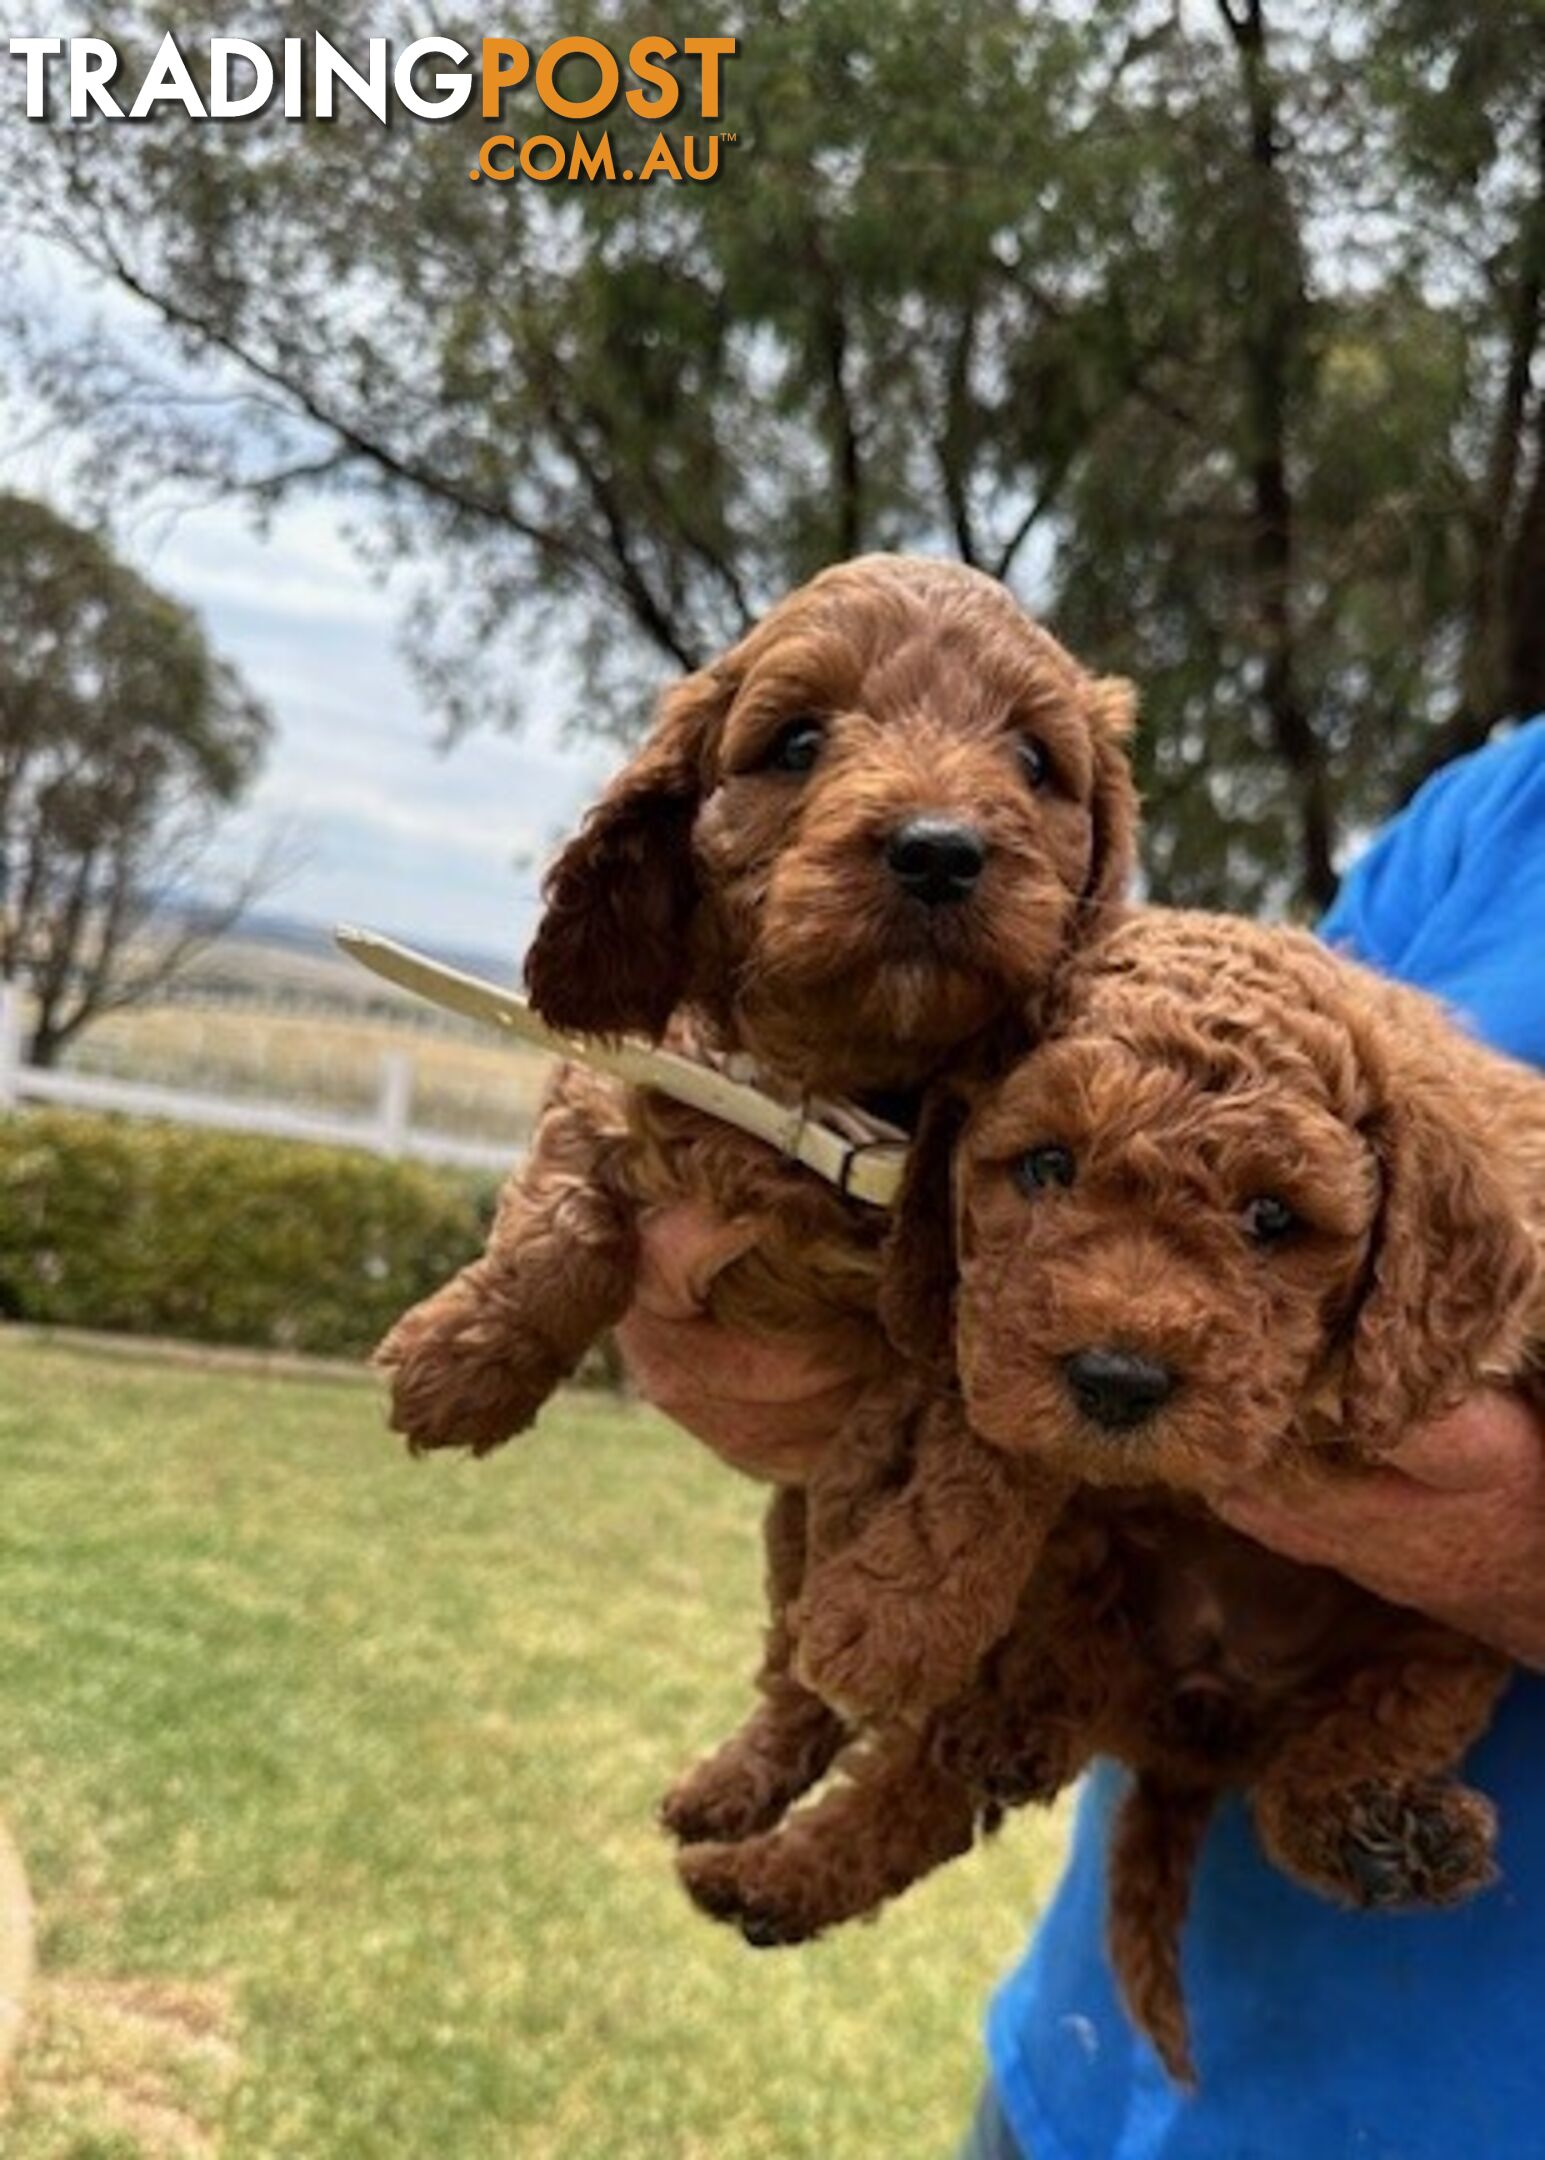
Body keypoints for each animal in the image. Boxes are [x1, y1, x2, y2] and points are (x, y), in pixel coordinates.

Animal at [369, 552, 1132, 1840]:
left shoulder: (1025, 1290)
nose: (939, 849)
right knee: (791, 1678)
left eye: (1035, 761)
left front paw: (901, 1617)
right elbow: (566, 1215)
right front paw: (460, 1364)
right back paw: (728, 1790)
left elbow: (976, 1458)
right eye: (799, 740)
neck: (834, 1099)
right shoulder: (623, 1074)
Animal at [687, 915, 1545, 2090]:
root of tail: (1199, 1731)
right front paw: (897, 1613)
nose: (1120, 1383)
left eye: (1271, 1215)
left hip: (1437, 1642)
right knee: (948, 1766)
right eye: (1048, 1165)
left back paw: (1376, 1829)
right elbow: (994, 1426)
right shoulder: (987, 1326)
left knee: (1371, 1727)